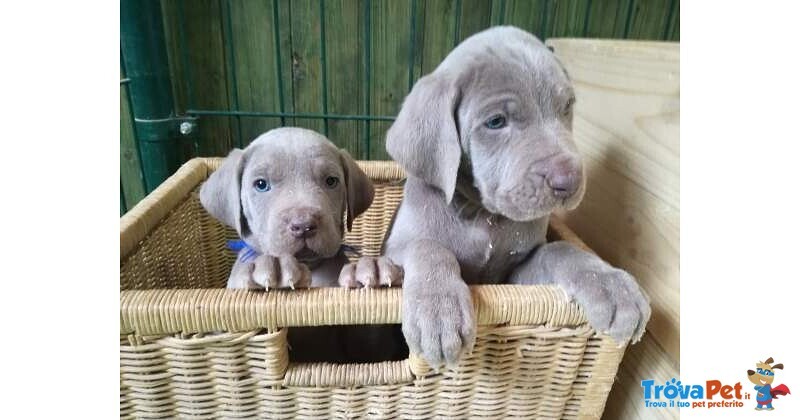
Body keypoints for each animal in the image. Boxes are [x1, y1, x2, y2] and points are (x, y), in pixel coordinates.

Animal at [384, 25, 652, 368]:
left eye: (567, 107)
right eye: (496, 122)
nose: (569, 181)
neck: (482, 216)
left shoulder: (514, 275)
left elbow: (560, 249)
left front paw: (610, 284)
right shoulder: (395, 249)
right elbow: (427, 246)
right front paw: (438, 311)